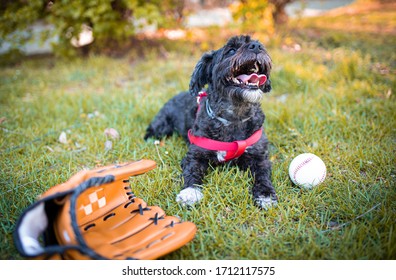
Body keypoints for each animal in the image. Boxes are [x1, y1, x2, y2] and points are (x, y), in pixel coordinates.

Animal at [144, 35, 276, 210]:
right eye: (231, 50)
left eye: (258, 44)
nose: (256, 46)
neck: (234, 116)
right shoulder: (195, 154)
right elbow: (192, 171)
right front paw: (190, 192)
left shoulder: (259, 156)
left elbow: (263, 175)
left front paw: (265, 195)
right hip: (162, 124)